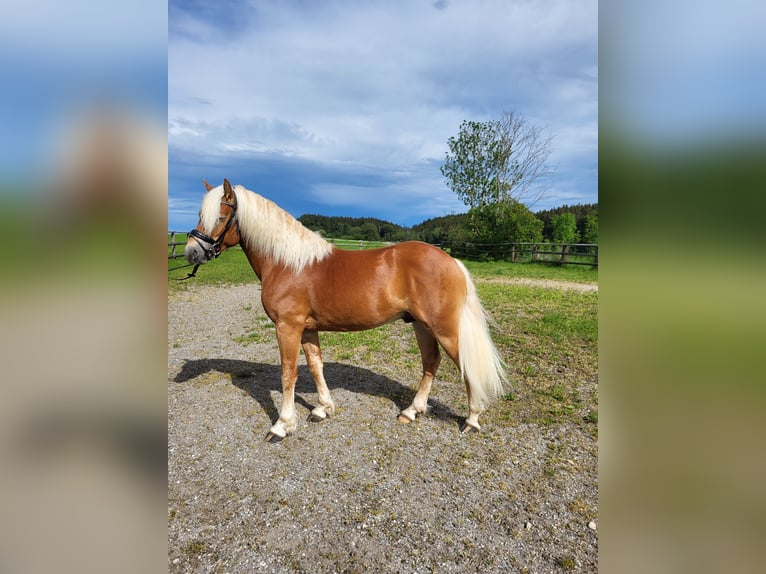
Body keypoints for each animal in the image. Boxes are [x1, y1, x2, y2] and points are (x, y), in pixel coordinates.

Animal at [186, 182, 510, 444]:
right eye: (201, 214)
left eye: (221, 216)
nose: (192, 252)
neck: (288, 263)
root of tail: (452, 261)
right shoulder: (308, 328)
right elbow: (315, 366)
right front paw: (322, 409)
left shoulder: (287, 326)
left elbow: (288, 374)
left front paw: (282, 426)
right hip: (421, 325)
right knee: (431, 362)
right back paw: (411, 411)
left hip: (444, 328)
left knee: (464, 364)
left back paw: (472, 420)